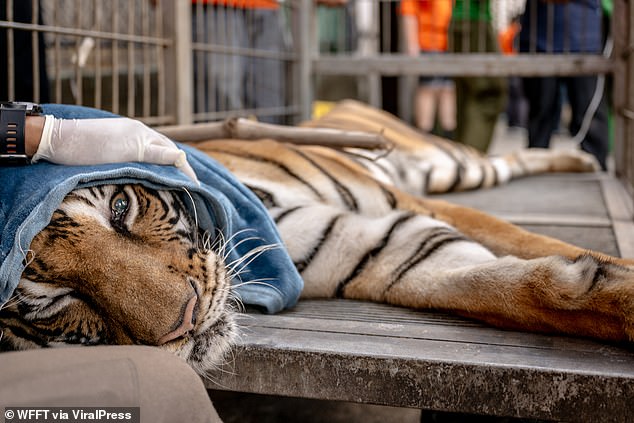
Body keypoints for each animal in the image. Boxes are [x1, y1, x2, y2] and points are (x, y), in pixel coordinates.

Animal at [1, 100, 632, 378]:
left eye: (121, 208)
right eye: (54, 302)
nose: (186, 321)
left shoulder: (408, 209)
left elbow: (518, 239)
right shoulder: (379, 247)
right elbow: (500, 286)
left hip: (449, 165)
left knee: (508, 159)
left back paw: (578, 159)